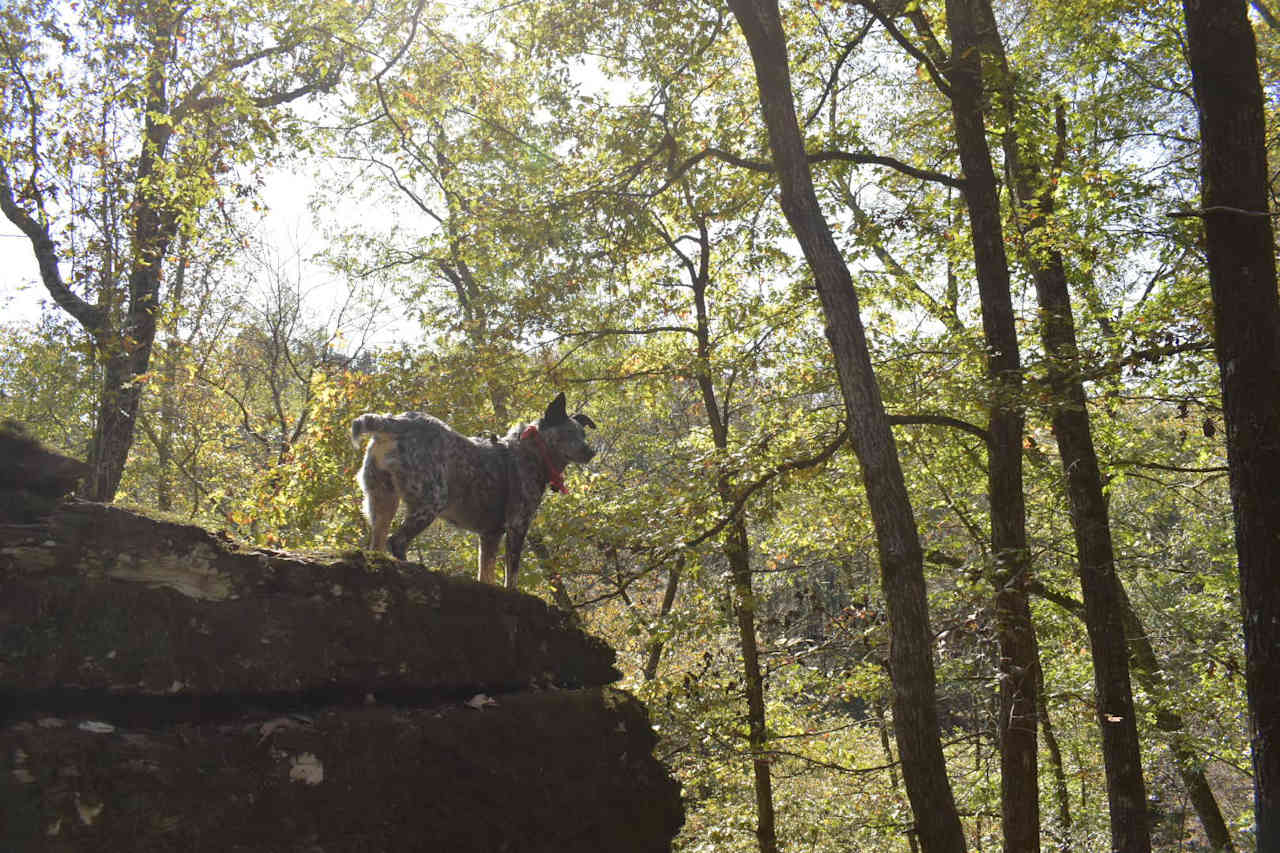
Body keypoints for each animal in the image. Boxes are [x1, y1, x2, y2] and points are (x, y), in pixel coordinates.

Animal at [353, 389, 596, 584]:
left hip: (382, 503)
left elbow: (486, 576)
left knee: (377, 546)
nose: (591, 451)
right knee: (397, 542)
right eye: (568, 433)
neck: (531, 452)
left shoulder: (490, 536)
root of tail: (396, 421)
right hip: (431, 502)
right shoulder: (517, 525)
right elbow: (511, 577)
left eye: (583, 434)